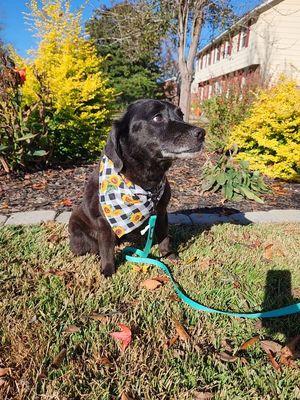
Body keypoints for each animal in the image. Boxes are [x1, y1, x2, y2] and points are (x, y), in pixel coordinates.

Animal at [69, 98, 205, 276]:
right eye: (157, 117)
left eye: (180, 115)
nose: (202, 133)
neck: (148, 180)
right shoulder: (104, 221)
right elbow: (106, 249)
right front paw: (108, 270)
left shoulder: (161, 212)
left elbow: (164, 236)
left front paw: (169, 255)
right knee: (94, 247)